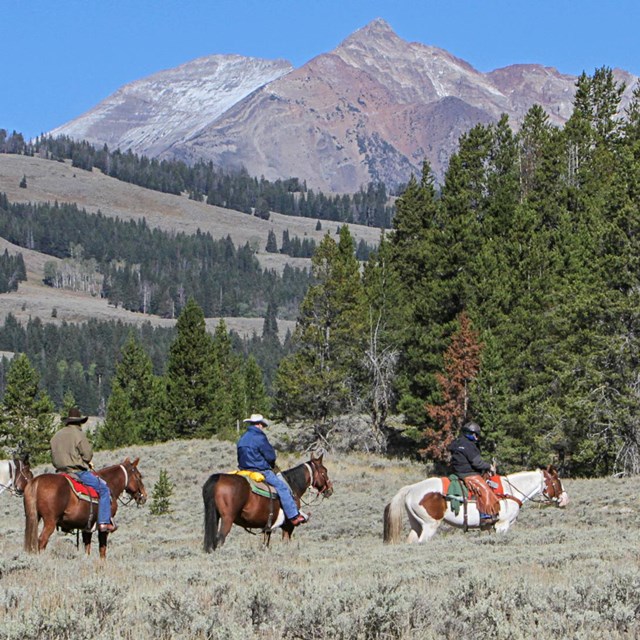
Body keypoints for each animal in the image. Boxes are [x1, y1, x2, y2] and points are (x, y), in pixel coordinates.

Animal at [204, 452, 336, 552]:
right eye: (324, 471)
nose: (330, 490)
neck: (292, 485)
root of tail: (219, 478)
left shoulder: (268, 528)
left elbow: (266, 544)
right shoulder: (288, 526)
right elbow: (285, 542)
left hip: (215, 517)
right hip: (227, 519)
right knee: (220, 540)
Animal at [382, 464, 568, 544]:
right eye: (556, 481)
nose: (565, 499)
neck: (510, 491)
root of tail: (411, 489)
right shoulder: (502, 525)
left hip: (416, 525)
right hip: (429, 526)